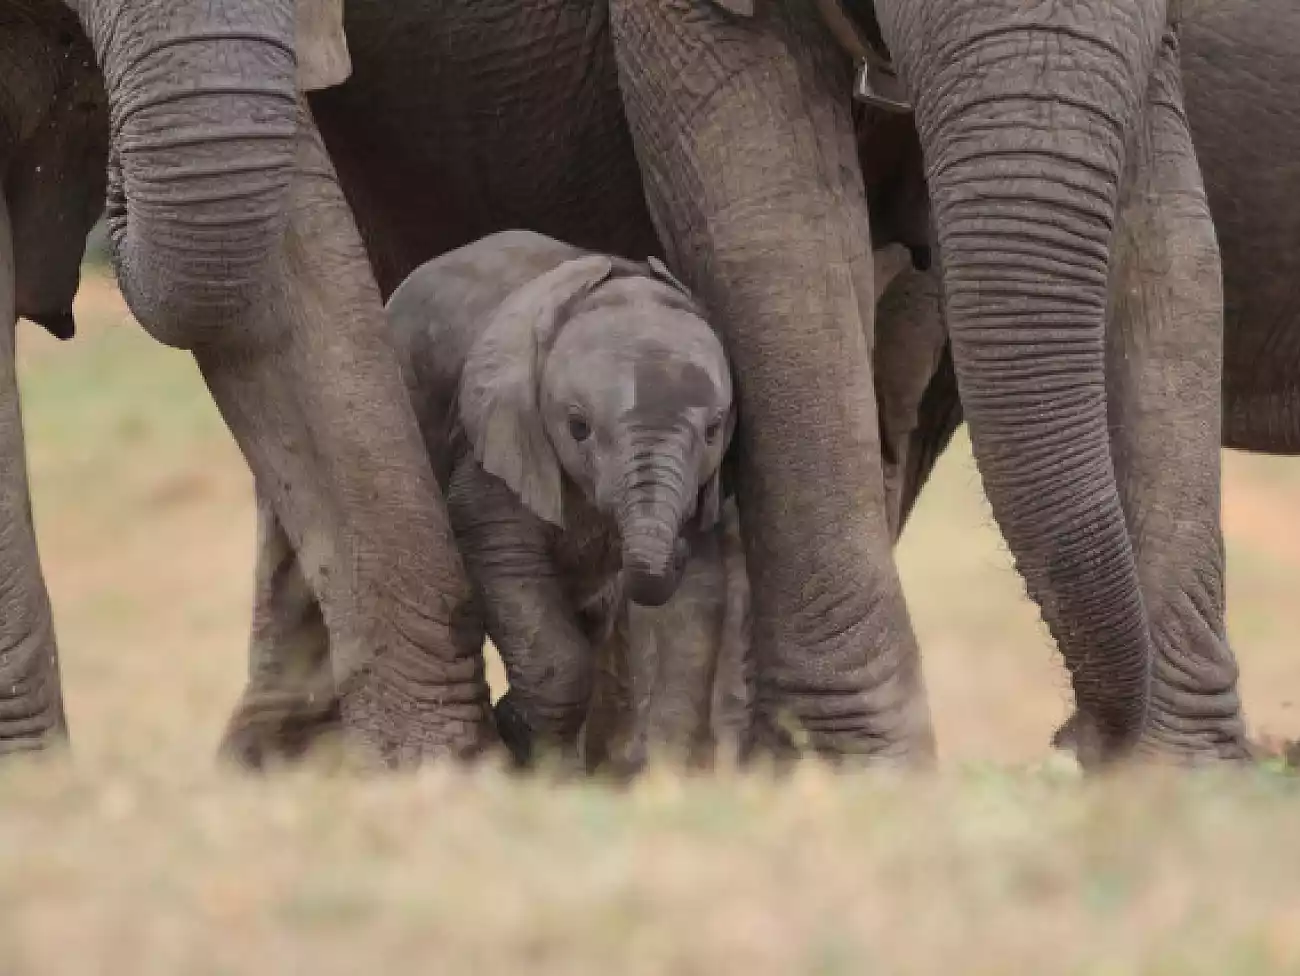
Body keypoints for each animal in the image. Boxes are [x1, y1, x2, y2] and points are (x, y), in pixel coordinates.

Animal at [222, 229, 751, 773]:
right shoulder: (493, 438)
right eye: (578, 427)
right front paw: (522, 740)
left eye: (714, 430)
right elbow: (504, 557)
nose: (673, 549)